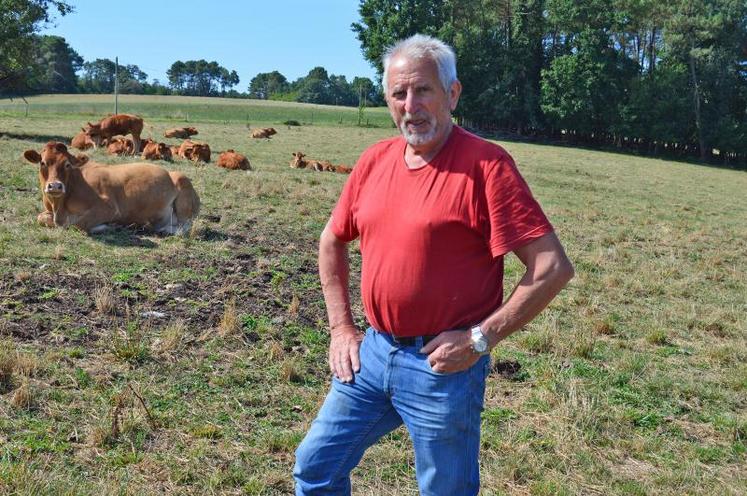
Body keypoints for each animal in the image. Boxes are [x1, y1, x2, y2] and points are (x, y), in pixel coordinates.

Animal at [23, 142, 200, 235]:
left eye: (67, 164)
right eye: (42, 163)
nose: (55, 186)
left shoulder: (108, 207)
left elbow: (78, 224)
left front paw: (106, 226)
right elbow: (41, 218)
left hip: (182, 183)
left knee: (184, 227)